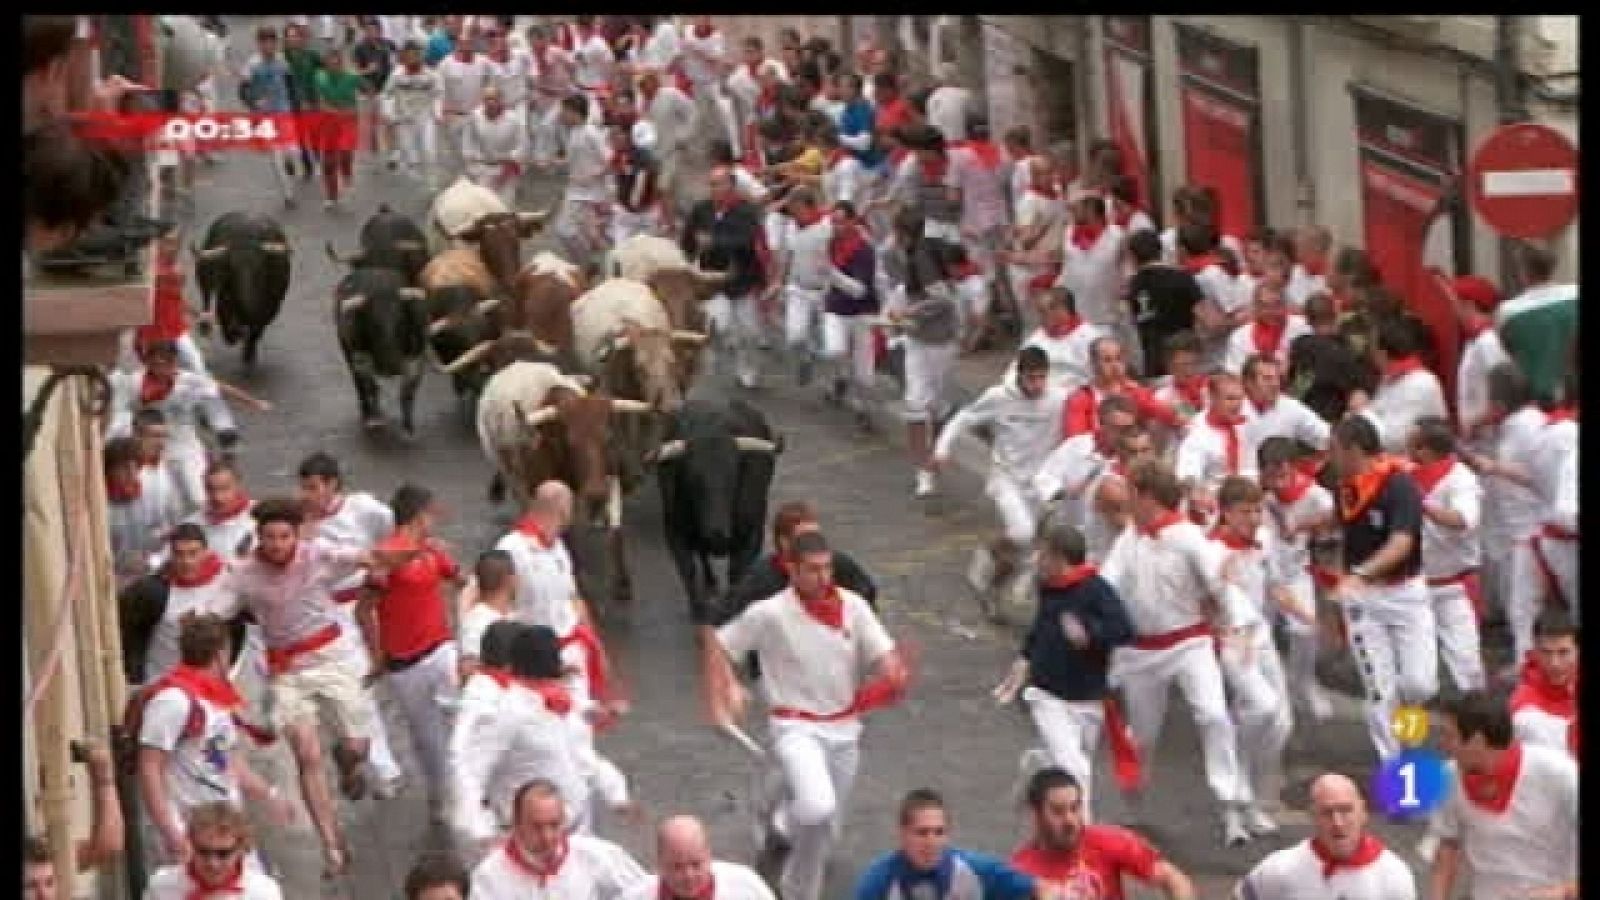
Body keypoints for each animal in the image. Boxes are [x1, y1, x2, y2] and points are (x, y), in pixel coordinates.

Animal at [195, 209, 292, 365]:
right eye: (230, 267)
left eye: (260, 266)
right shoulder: (224, 297)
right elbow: (225, 320)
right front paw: (235, 335)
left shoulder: (273, 306)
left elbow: (257, 330)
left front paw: (248, 353)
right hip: (204, 277)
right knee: (206, 299)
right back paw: (205, 326)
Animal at [652, 395, 784, 621]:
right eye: (691, 479)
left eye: (734, 475)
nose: (717, 532)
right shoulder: (673, 531)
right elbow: (688, 570)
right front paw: (699, 610)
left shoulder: (752, 534)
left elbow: (737, 574)